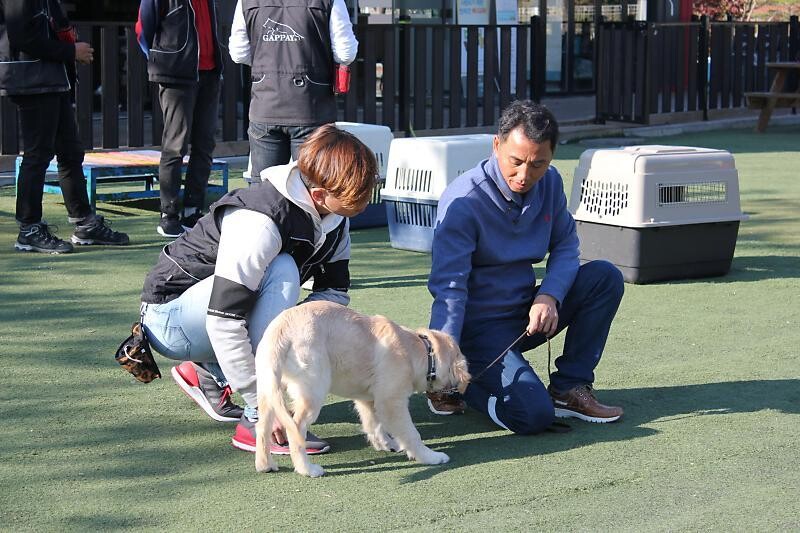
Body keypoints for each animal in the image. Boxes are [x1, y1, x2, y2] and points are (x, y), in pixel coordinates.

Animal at [255, 300, 468, 478]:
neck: (422, 351)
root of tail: (281, 329)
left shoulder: (368, 399)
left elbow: (374, 425)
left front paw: (387, 444)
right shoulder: (391, 402)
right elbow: (411, 434)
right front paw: (431, 457)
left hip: (268, 389)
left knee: (262, 426)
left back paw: (265, 465)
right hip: (313, 390)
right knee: (296, 428)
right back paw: (307, 469)